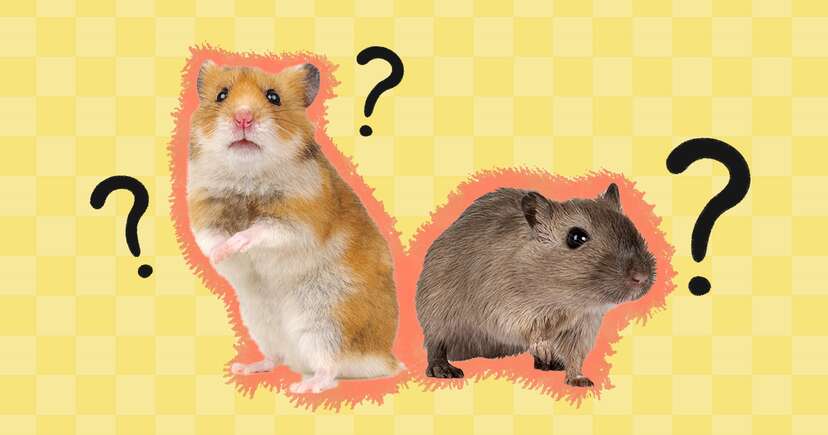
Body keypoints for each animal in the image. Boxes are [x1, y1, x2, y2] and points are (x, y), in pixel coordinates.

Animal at [187, 60, 401, 394]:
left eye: (273, 97)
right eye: (222, 95)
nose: (243, 117)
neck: (246, 177)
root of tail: (384, 358)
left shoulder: (300, 219)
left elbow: (260, 231)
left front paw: (235, 245)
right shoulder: (203, 211)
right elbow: (211, 239)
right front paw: (220, 255)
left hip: (326, 322)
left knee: (330, 367)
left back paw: (304, 386)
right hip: (261, 322)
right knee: (276, 357)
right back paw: (247, 368)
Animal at [415, 184, 655, 387]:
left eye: (632, 227)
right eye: (576, 237)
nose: (642, 277)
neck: (565, 300)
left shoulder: (583, 325)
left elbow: (575, 356)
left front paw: (578, 379)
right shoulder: (504, 307)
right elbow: (532, 334)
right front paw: (546, 349)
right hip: (436, 315)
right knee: (436, 345)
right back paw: (444, 370)